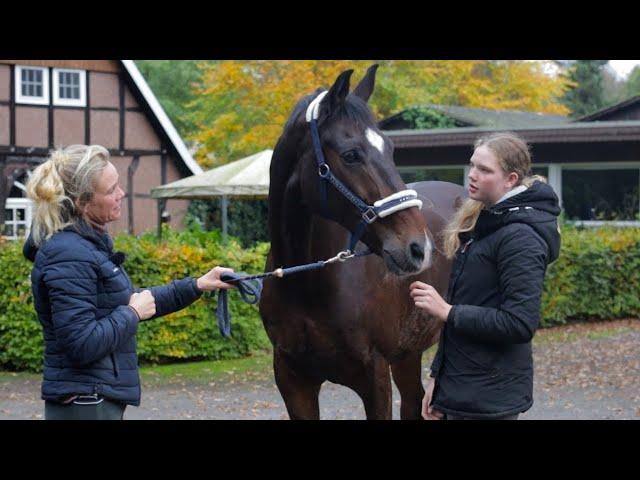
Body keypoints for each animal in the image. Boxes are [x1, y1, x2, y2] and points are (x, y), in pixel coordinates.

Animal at [258, 65, 464, 418]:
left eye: (391, 150)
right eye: (351, 154)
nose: (419, 248)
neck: (307, 286)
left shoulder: (374, 378)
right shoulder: (293, 381)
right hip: (408, 353)